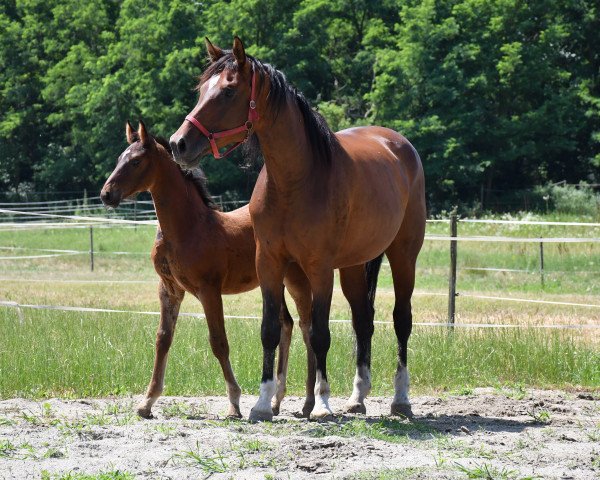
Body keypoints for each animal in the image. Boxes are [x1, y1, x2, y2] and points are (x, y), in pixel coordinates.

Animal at [101, 122, 322, 418]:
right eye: (118, 159)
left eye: (136, 161)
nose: (106, 194)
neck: (187, 228)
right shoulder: (169, 290)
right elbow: (163, 339)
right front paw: (147, 402)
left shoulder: (209, 290)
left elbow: (218, 341)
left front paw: (234, 402)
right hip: (275, 282)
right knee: (286, 324)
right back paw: (275, 402)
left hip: (296, 279)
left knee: (306, 327)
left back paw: (308, 403)